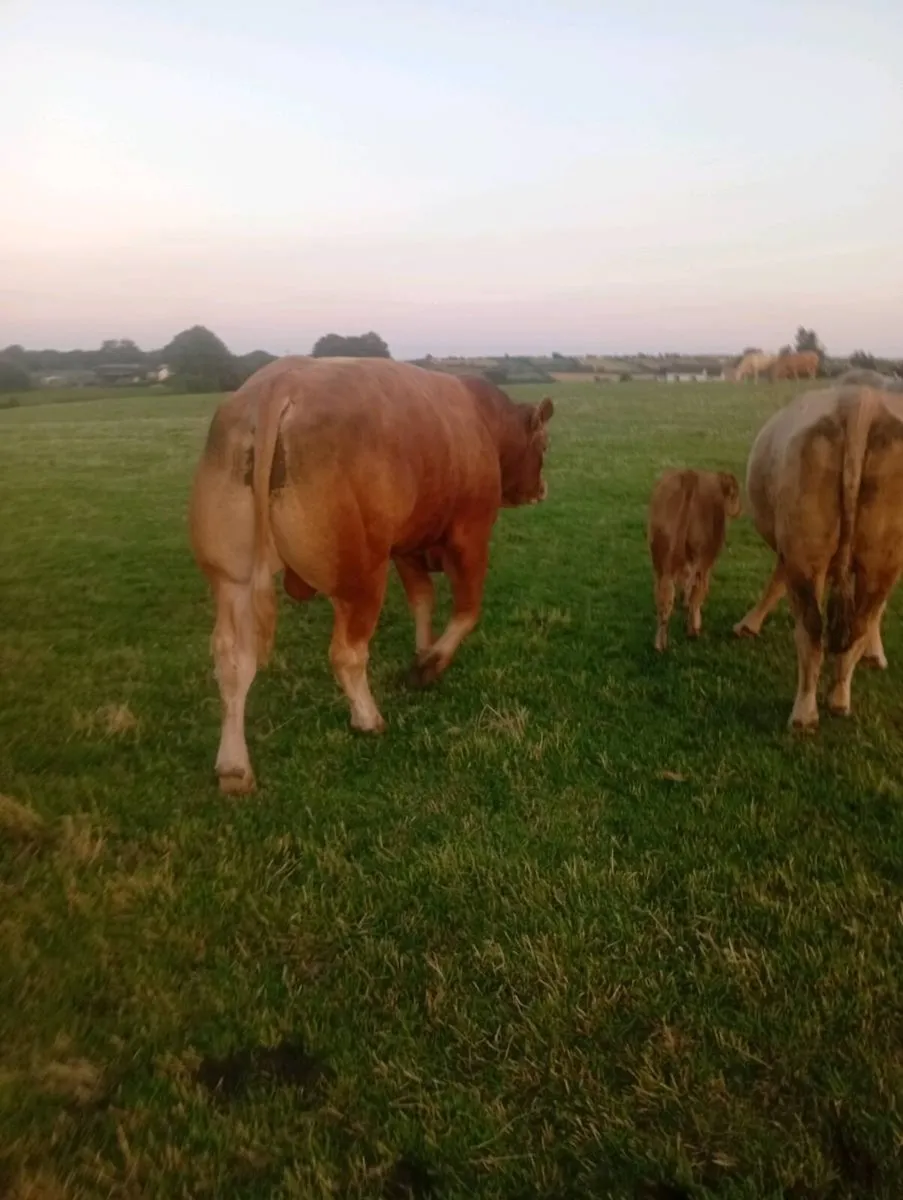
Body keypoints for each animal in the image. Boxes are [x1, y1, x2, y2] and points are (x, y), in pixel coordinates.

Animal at [189, 355, 554, 793]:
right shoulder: (470, 536)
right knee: (346, 653)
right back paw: (367, 718)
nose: (542, 489)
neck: (484, 421)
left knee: (233, 661)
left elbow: (422, 599)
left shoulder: (409, 545)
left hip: (232, 578)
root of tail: (279, 382)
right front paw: (428, 667)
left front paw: (422, 651)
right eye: (544, 446)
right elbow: (466, 612)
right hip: (361, 576)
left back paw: (234, 767)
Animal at [647, 468, 742, 652]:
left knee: (664, 596)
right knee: (696, 592)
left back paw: (660, 645)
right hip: (703, 558)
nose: (739, 510)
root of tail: (689, 476)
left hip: (660, 558)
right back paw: (693, 631)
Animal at [733, 383, 903, 730]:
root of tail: (862, 401)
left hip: (807, 552)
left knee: (815, 628)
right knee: (853, 623)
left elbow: (776, 580)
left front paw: (748, 625)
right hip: (877, 555)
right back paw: (834, 700)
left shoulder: (788, 545)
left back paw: (808, 712)